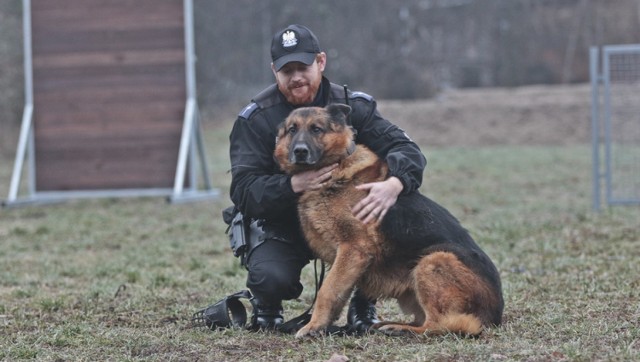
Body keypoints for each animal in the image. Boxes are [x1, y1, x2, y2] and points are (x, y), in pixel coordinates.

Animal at [272, 105, 502, 340]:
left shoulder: (353, 249)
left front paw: (312, 326)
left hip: (434, 259)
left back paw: (400, 329)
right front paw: (322, 326)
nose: (299, 151)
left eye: (316, 129)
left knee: (441, 324)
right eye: (292, 130)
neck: (336, 166)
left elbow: (327, 290)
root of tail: (496, 315)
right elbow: (337, 293)